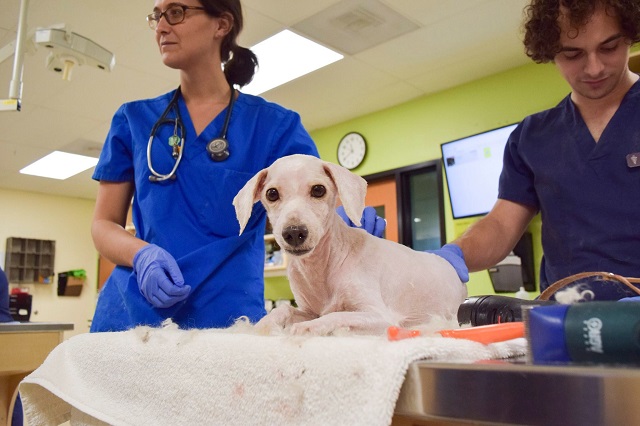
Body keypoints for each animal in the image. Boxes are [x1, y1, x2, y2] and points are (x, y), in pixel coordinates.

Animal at [234, 155, 464, 334]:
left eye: (319, 190)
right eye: (271, 193)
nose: (294, 232)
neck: (324, 266)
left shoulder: (381, 317)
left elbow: (337, 315)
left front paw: (308, 328)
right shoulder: (310, 311)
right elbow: (284, 309)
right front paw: (260, 325)